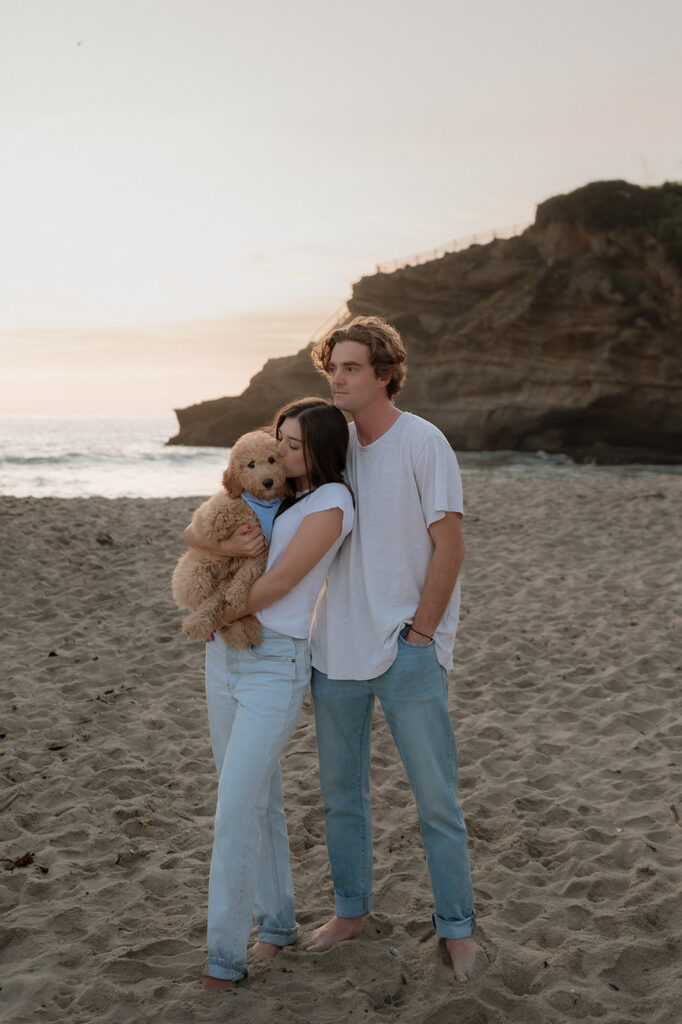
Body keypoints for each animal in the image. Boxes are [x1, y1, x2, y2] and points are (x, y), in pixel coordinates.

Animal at [171, 432, 288, 647]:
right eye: (251, 464)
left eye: (271, 459)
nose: (268, 482)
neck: (260, 504)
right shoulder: (209, 517)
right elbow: (220, 517)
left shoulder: (263, 549)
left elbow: (249, 571)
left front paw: (238, 594)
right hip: (196, 575)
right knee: (202, 601)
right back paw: (195, 624)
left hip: (222, 586)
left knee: (216, 601)